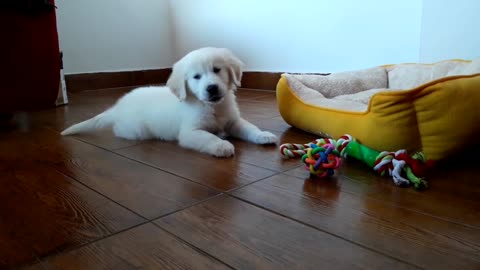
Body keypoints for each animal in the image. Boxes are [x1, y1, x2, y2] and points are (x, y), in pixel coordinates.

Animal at [61, 46, 278, 156]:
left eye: (217, 70)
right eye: (196, 77)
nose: (212, 88)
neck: (211, 106)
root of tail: (119, 106)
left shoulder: (233, 121)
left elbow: (249, 127)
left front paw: (263, 135)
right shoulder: (190, 132)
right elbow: (208, 137)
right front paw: (221, 145)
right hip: (136, 130)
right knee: (119, 130)